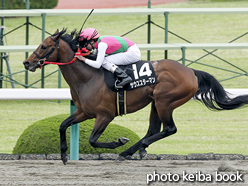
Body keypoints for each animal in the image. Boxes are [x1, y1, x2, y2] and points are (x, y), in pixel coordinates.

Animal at [23, 29, 248, 165]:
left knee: (169, 129)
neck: (87, 77)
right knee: (154, 130)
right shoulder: (84, 112)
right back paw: (137, 149)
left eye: (44, 46)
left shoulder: (105, 115)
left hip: (165, 101)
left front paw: (119, 142)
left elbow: (93, 140)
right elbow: (63, 125)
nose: (27, 62)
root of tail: (190, 71)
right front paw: (63, 154)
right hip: (156, 103)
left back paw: (127, 151)